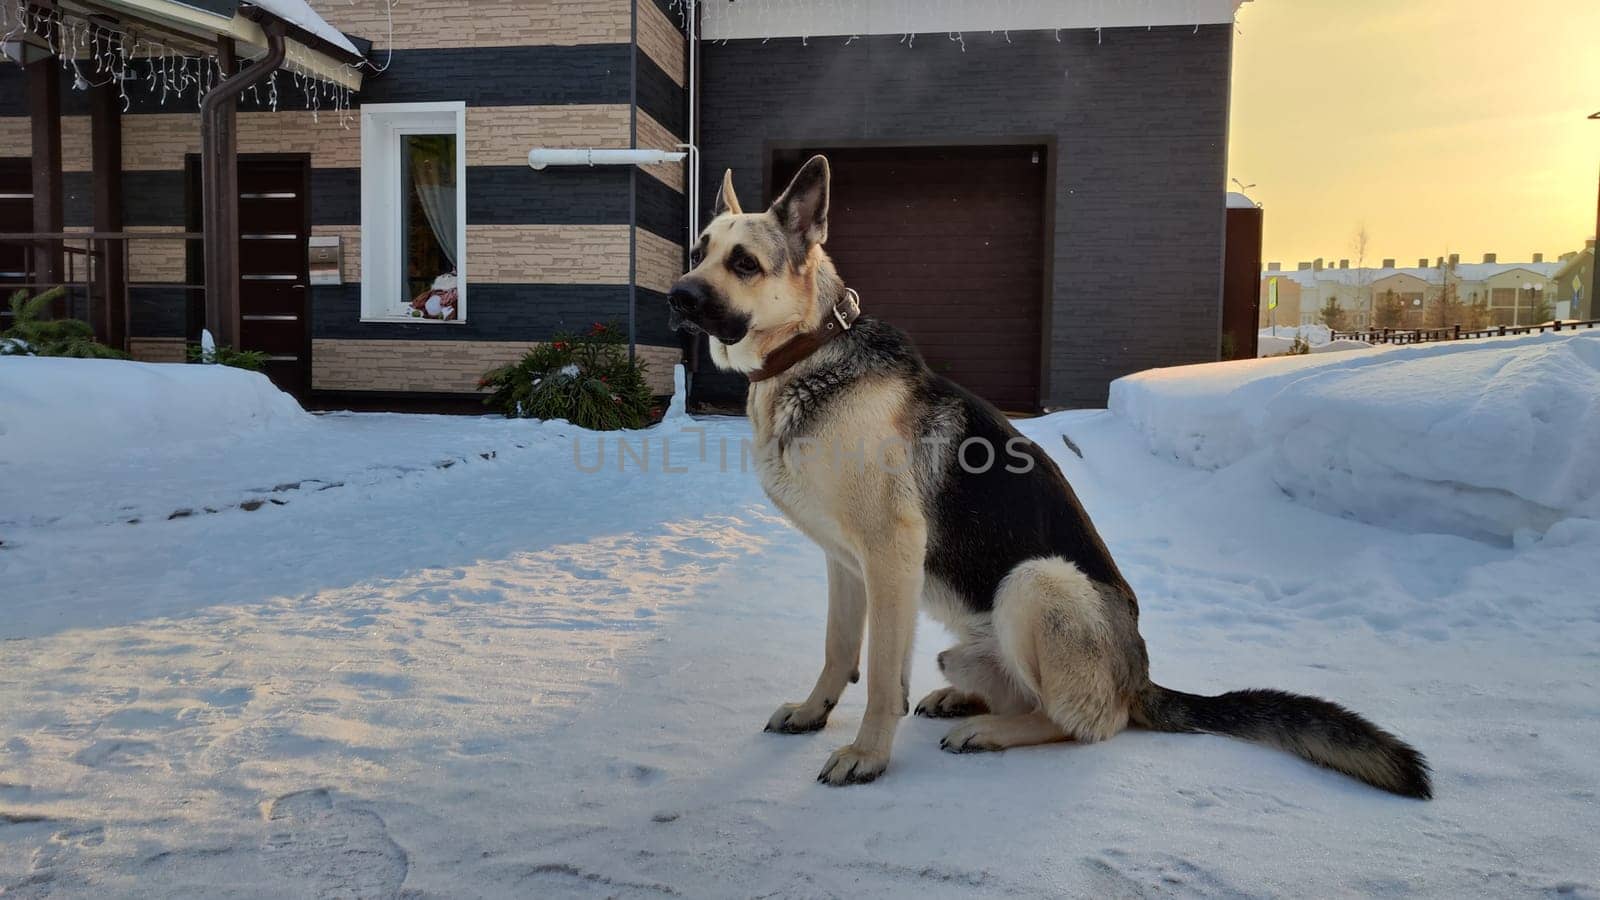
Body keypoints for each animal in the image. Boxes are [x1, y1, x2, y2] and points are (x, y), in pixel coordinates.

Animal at [668, 157, 1433, 794]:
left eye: (744, 262)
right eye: (699, 252)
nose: (676, 295)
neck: (807, 355)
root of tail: (1140, 679)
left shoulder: (889, 556)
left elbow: (881, 673)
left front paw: (867, 754)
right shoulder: (844, 563)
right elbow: (838, 650)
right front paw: (813, 710)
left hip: (1038, 581)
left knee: (1084, 721)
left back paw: (987, 730)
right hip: (969, 641)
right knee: (1029, 694)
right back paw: (964, 699)